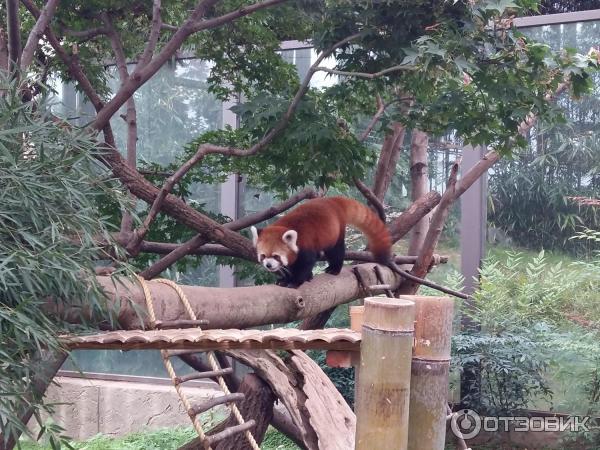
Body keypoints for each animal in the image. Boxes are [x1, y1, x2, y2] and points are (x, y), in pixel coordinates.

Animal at [251, 197, 392, 288]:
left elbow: (305, 264)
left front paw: (295, 281)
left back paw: (334, 269)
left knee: (336, 251)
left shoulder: (305, 244)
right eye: (263, 256)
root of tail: (332, 200)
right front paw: (284, 279)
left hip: (335, 231)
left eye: (276, 256)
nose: (268, 265)